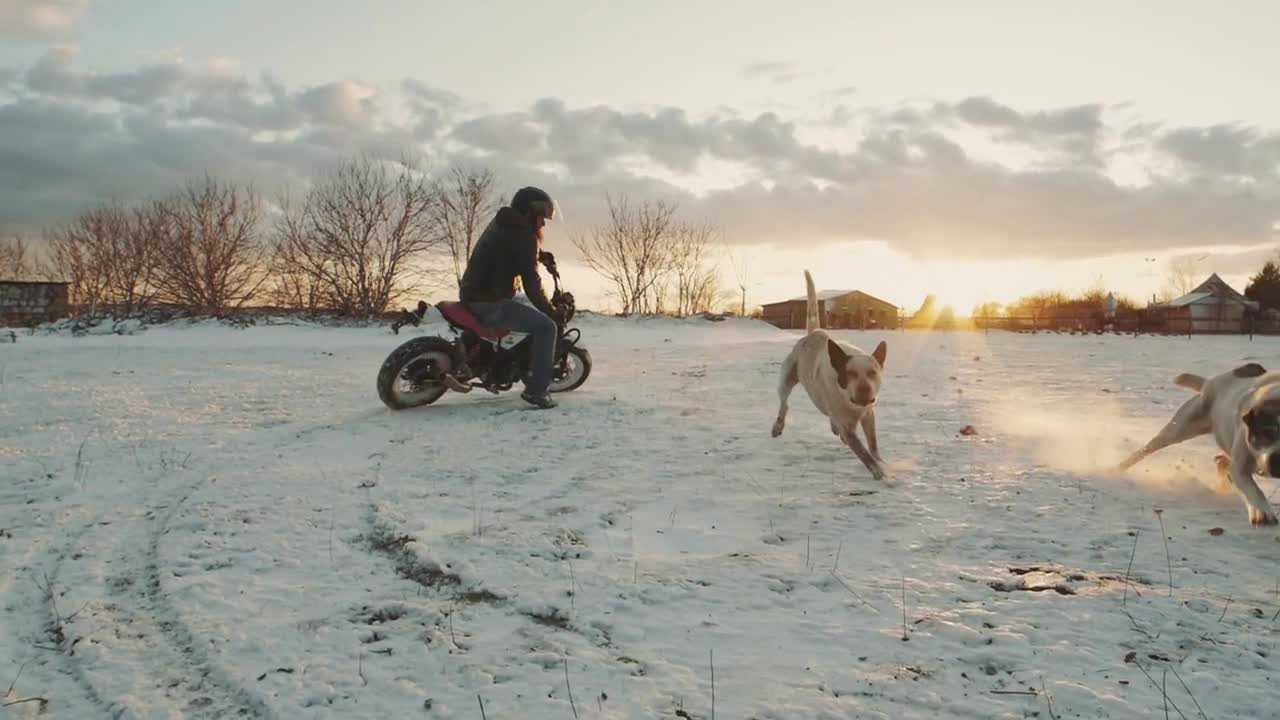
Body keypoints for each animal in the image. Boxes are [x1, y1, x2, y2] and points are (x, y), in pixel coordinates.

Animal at [768, 269, 890, 481]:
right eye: (849, 374)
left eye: (872, 373)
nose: (865, 392)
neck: (851, 403)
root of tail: (815, 331)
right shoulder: (847, 427)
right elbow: (864, 453)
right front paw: (880, 473)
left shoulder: (869, 415)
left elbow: (873, 445)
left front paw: (881, 463)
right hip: (786, 377)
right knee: (784, 403)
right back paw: (778, 426)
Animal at [1116, 361, 1280, 525]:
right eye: (1266, 433)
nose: (1275, 461)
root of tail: (1210, 382)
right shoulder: (1240, 466)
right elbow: (1253, 489)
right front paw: (1263, 512)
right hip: (1179, 427)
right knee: (1147, 448)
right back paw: (1117, 468)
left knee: (1221, 461)